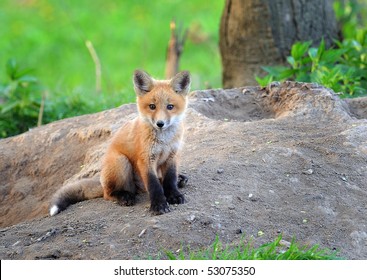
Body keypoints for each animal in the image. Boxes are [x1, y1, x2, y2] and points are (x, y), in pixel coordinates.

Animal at [49, 70, 191, 217]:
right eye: (152, 106)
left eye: (170, 107)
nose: (160, 124)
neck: (164, 141)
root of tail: (102, 180)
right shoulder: (145, 159)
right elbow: (154, 185)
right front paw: (159, 205)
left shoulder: (172, 156)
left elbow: (170, 180)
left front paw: (174, 195)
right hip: (121, 162)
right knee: (109, 194)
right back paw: (123, 196)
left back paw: (180, 179)